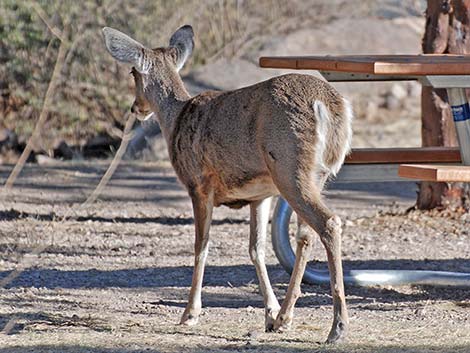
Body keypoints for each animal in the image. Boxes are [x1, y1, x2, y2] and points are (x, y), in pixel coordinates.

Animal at [102, 25, 352, 344]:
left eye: (133, 72)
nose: (136, 108)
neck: (176, 119)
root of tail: (331, 107)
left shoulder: (198, 184)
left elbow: (201, 246)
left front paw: (190, 314)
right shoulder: (259, 194)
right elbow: (256, 248)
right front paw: (269, 313)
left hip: (290, 167)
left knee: (329, 222)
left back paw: (337, 327)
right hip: (313, 176)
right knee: (306, 235)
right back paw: (285, 317)